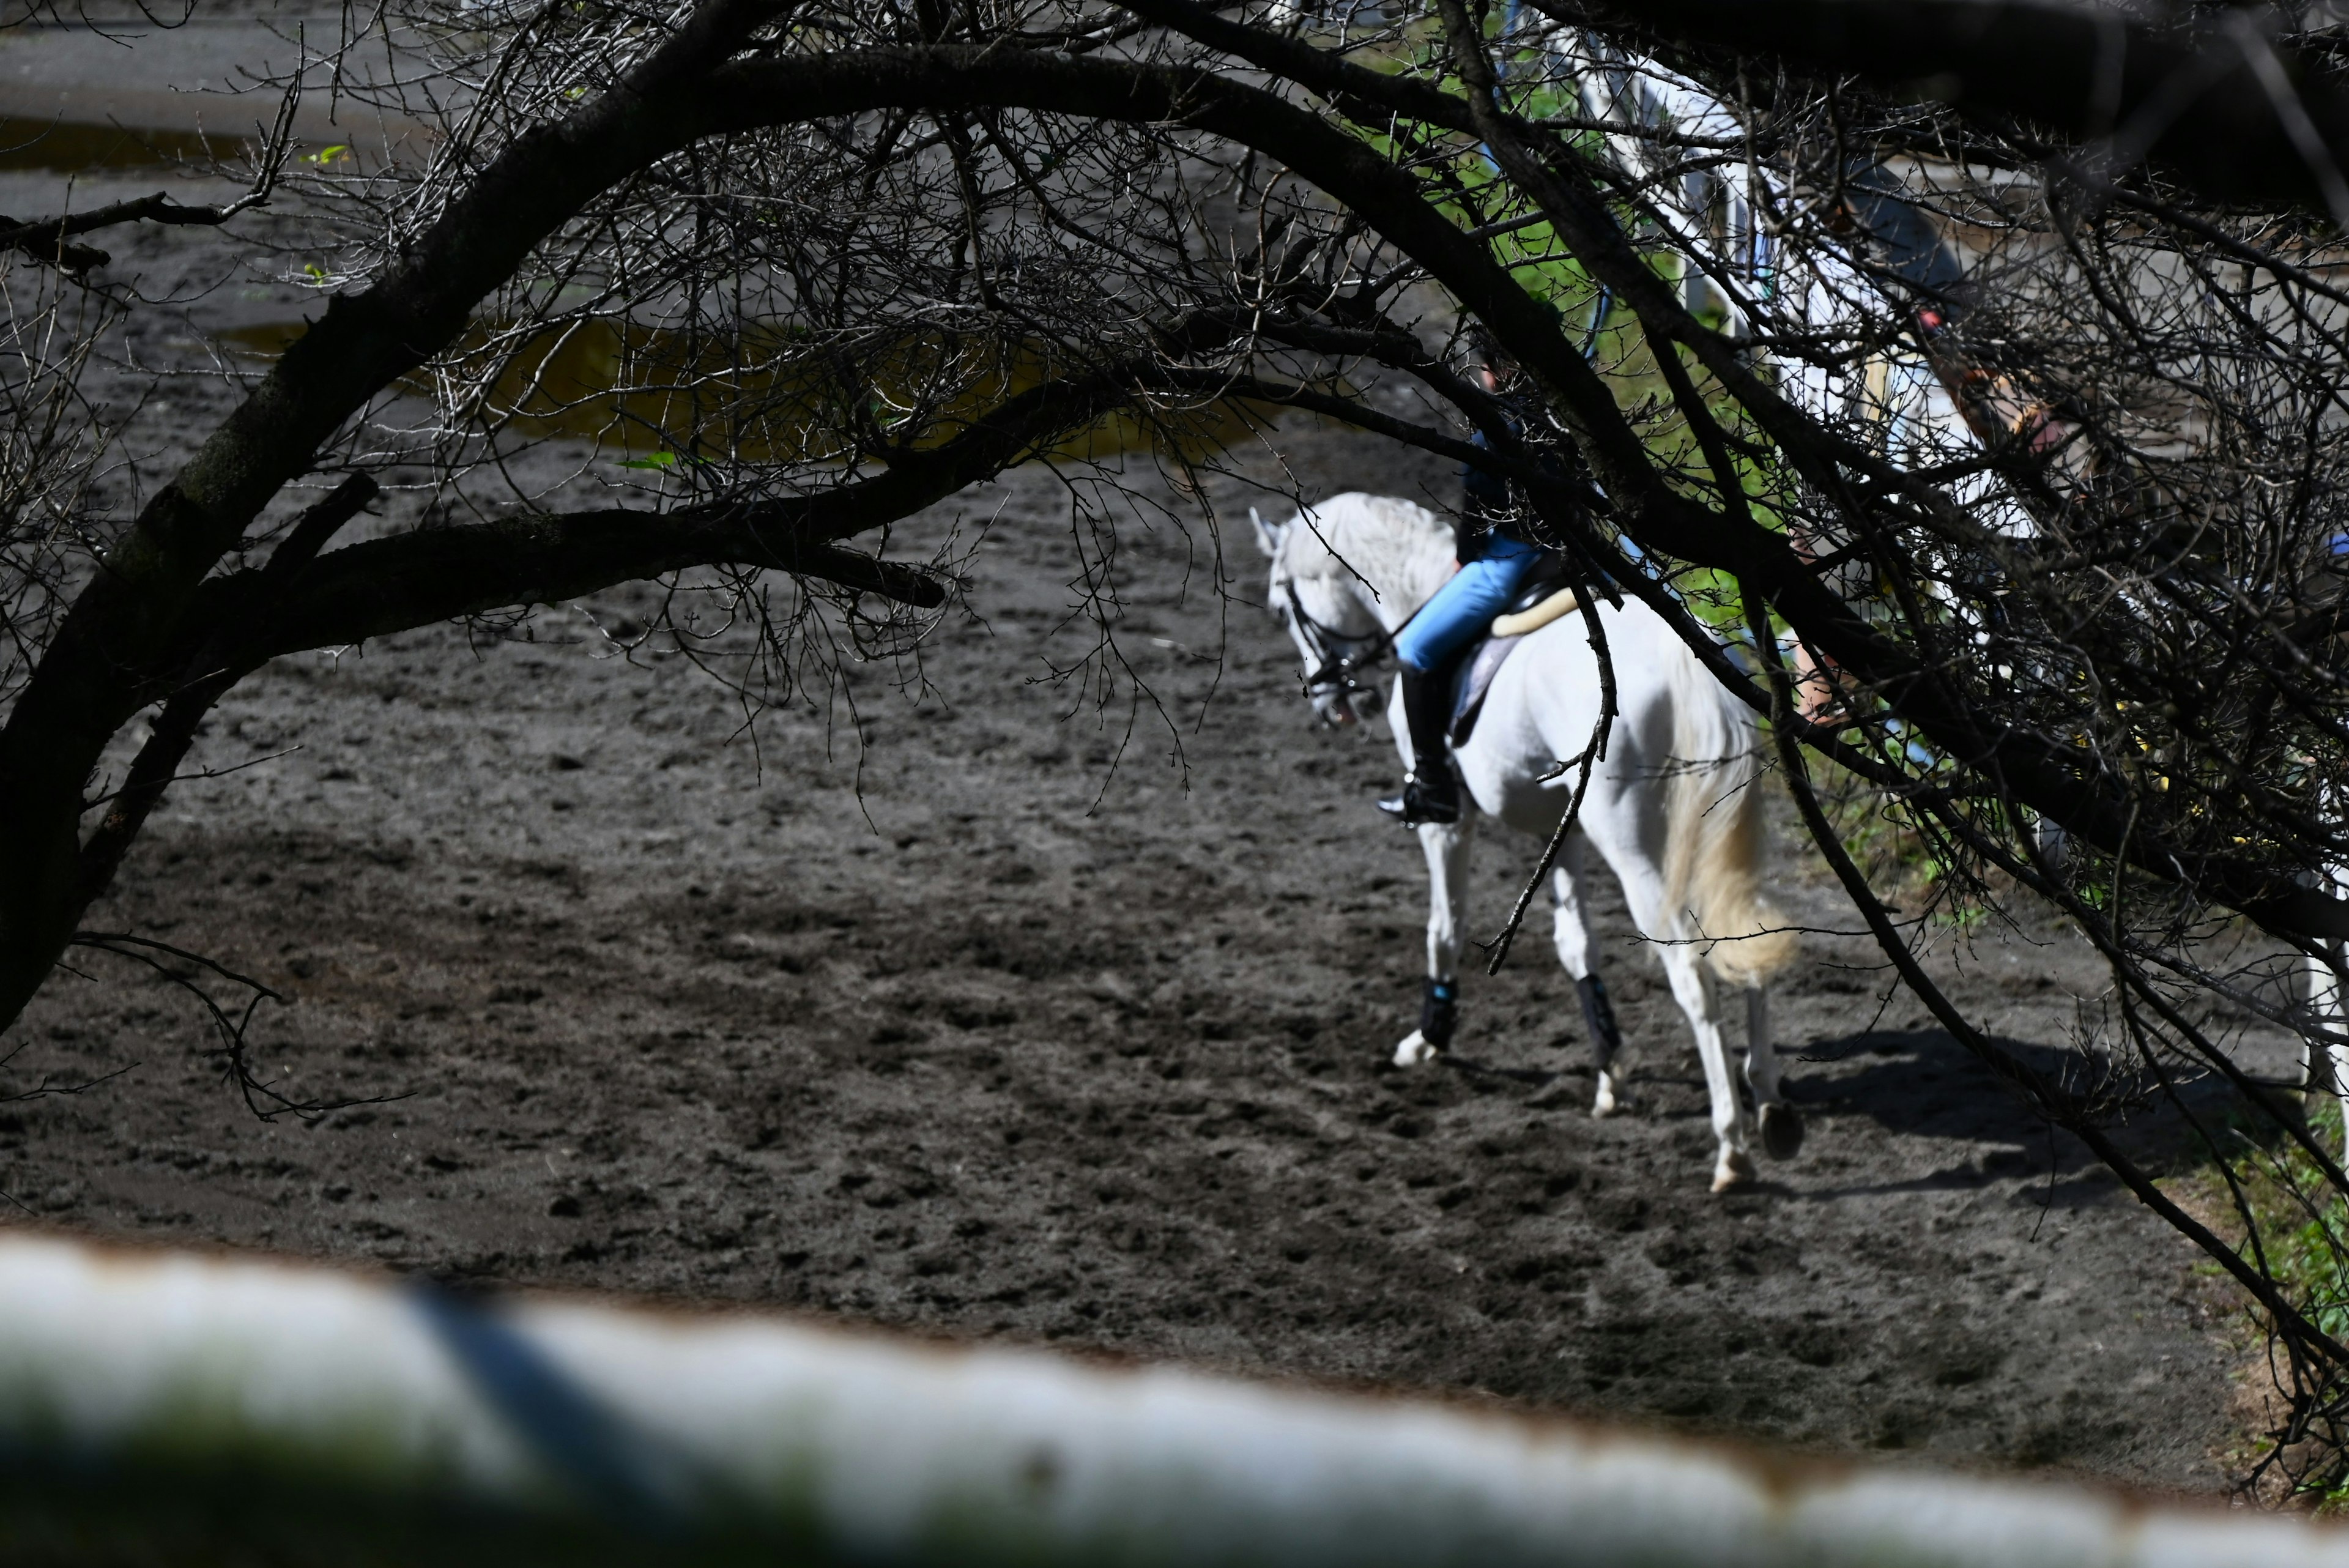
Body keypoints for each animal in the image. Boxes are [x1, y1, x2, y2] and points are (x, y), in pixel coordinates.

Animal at [1268, 491, 1794, 1189]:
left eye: (1281, 608)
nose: (1333, 706)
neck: (1419, 585)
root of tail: (1689, 663)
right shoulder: (1558, 831)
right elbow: (1575, 944)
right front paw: (1610, 1072)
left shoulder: (1446, 821)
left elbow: (1446, 925)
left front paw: (1430, 1035)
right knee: (1745, 941)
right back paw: (1771, 1109)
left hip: (1639, 855)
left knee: (1692, 974)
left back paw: (1731, 1148)